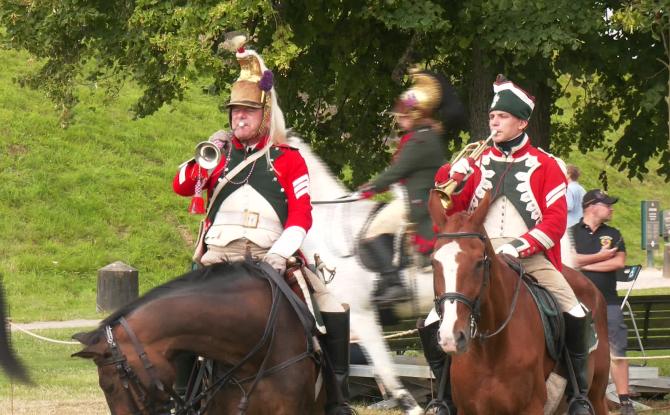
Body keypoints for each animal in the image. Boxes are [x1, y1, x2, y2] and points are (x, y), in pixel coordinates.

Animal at [428, 193, 612, 415]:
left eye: (479, 262)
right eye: (433, 263)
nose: (452, 337)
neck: (488, 352)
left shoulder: (531, 407)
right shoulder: (467, 409)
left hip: (596, 395)